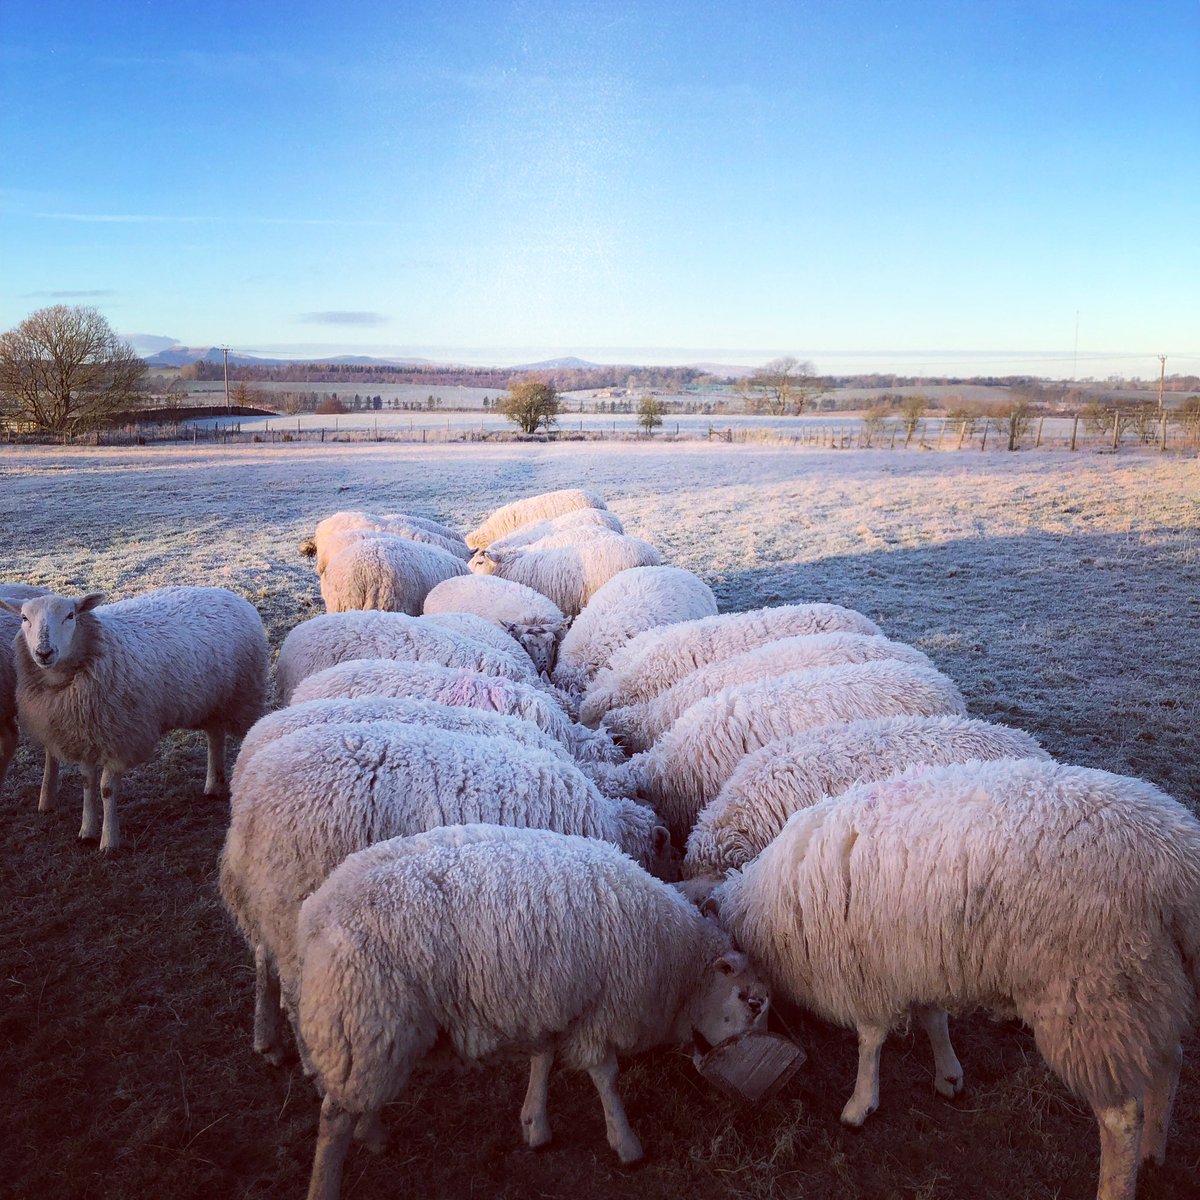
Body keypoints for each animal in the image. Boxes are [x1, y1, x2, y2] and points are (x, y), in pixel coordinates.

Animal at [1, 586, 269, 851]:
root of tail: (227, 593)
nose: (44, 652)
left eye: (70, 615)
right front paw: (86, 831)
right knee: (215, 736)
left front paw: (109, 841)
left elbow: (106, 789)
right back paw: (213, 785)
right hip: (211, 701)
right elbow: (87, 781)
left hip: (243, 694)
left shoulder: (119, 737)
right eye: (24, 618)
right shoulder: (84, 733)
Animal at [220, 724, 671, 1066]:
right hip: (294, 906)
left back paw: (267, 1041)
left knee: (263, 960)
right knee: (295, 994)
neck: (604, 820)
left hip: (272, 902)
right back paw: (309, 1062)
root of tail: (248, 810)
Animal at [297, 824, 769, 1199]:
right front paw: (626, 1142)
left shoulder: (552, 1000)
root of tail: (316, 916)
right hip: (365, 1014)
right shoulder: (601, 1008)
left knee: (362, 1094)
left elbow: (543, 1057)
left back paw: (373, 1132)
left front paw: (535, 1123)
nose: (726, 1061)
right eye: (750, 1001)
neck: (678, 963)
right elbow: (606, 1075)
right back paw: (326, 1183)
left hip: (375, 1030)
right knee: (334, 1118)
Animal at [698, 758, 1200, 1200]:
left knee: (1121, 1117)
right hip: (1147, 982)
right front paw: (948, 1075)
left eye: (747, 1000)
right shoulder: (917, 956)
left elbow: (870, 1039)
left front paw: (861, 1103)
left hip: (1095, 995)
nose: (714, 1069)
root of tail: (1179, 865)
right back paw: (1153, 1153)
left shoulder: (868, 970)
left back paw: (1117, 1181)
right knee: (1169, 1061)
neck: (766, 912)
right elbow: (933, 1018)